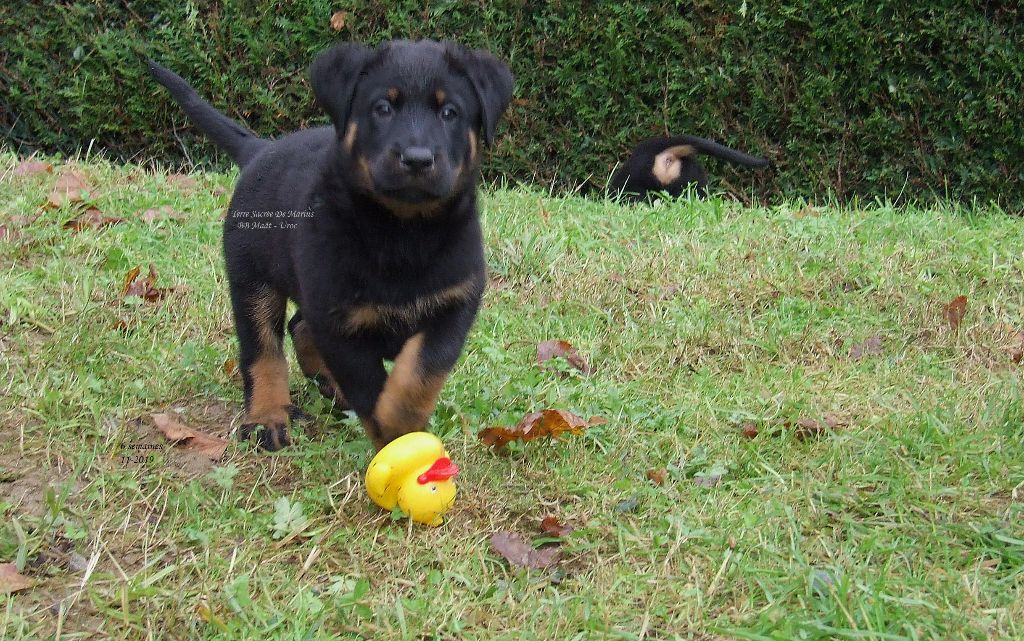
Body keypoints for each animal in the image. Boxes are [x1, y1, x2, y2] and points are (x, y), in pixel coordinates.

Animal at [148, 41, 516, 448]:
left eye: (450, 113)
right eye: (382, 108)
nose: (417, 159)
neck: (402, 231)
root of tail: (261, 150)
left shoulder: (453, 304)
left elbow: (420, 372)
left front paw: (401, 424)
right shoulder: (339, 321)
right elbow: (369, 385)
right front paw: (392, 434)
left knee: (299, 327)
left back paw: (327, 387)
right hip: (252, 278)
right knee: (263, 350)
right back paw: (267, 417)